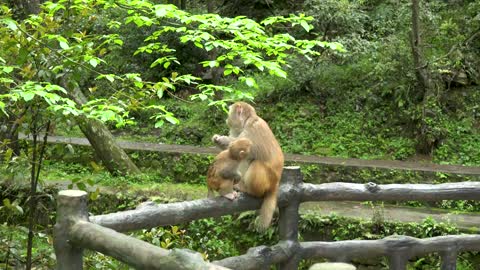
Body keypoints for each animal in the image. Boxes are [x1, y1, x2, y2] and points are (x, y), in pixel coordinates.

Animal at [212, 101, 284, 230]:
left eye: (229, 112)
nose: (227, 119)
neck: (246, 122)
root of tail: (275, 185)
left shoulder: (251, 128)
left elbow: (238, 147)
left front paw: (221, 139)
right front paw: (217, 139)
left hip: (267, 181)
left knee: (255, 163)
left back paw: (248, 189)